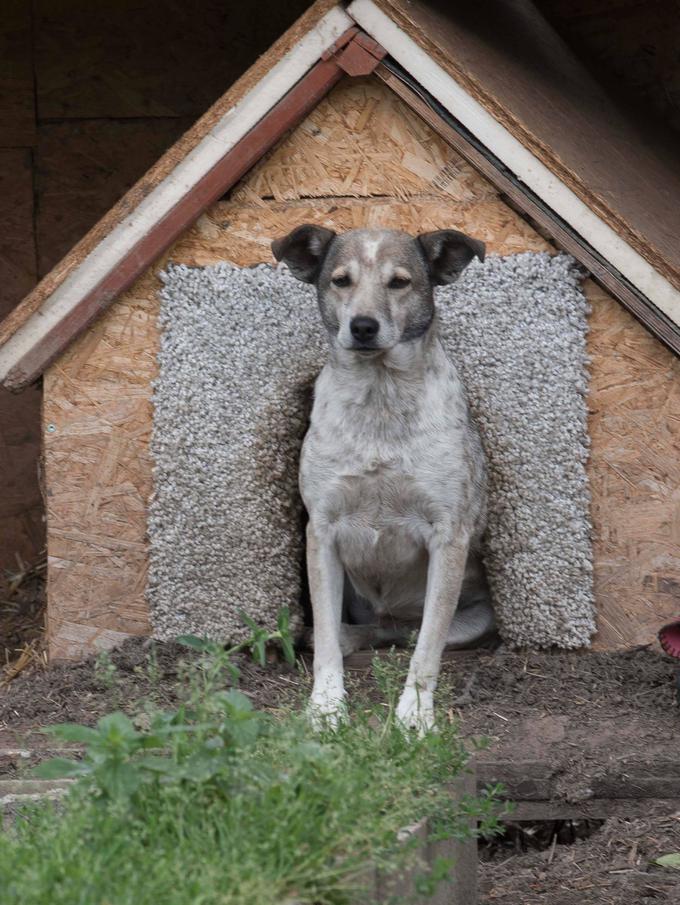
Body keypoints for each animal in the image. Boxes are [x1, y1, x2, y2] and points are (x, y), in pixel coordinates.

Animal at [270, 222, 494, 732]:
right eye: (340, 280)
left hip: (472, 618)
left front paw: (415, 714)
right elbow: (326, 639)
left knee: (408, 633)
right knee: (362, 629)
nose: (363, 326)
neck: (380, 397)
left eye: (399, 282)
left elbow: (427, 646)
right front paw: (326, 707)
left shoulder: (448, 535)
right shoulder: (322, 531)